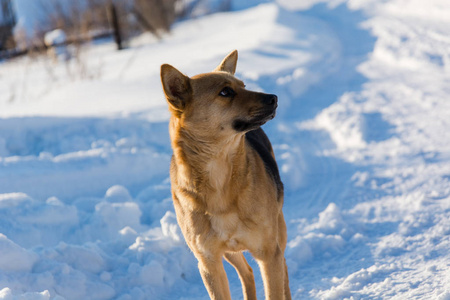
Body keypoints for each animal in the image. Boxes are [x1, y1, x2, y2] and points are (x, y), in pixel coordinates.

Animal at [162, 50, 292, 298]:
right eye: (226, 92)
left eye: (243, 86)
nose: (274, 98)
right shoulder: (209, 263)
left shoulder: (268, 253)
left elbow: (275, 288)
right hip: (230, 253)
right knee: (247, 272)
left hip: (278, 232)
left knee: (284, 271)